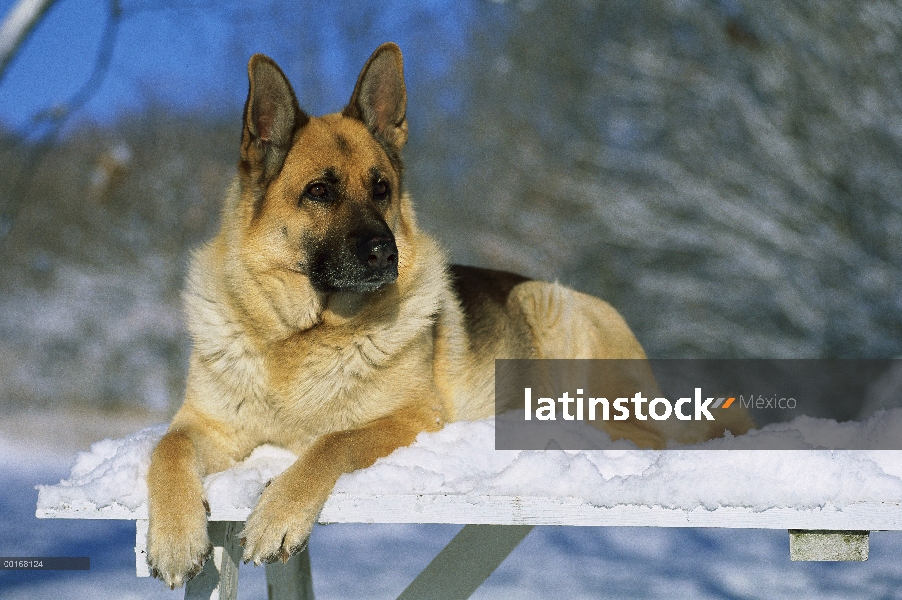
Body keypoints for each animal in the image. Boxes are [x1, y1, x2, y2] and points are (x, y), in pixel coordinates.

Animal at [147, 43, 748, 592]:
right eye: (319, 191)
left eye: (382, 189)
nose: (385, 252)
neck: (298, 337)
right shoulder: (206, 427)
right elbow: (166, 447)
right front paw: (175, 538)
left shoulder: (413, 417)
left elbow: (332, 443)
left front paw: (277, 514)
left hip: (545, 305)